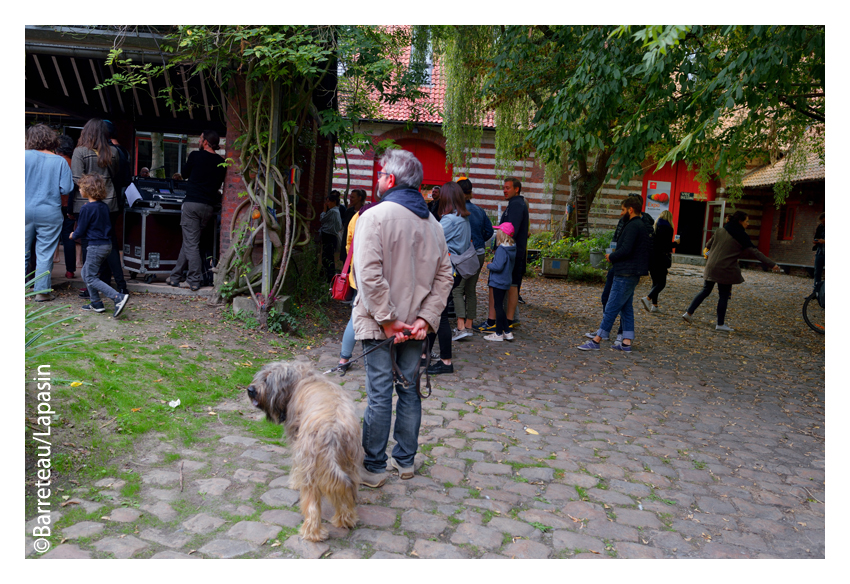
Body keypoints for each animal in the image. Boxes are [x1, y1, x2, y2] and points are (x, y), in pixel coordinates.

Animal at [247, 360, 362, 544]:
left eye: (267, 380)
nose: (250, 390)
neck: (300, 379)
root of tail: (331, 430)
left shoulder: (296, 437)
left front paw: (294, 482)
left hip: (310, 466)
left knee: (312, 505)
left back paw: (312, 533)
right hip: (349, 463)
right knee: (344, 493)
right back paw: (345, 520)